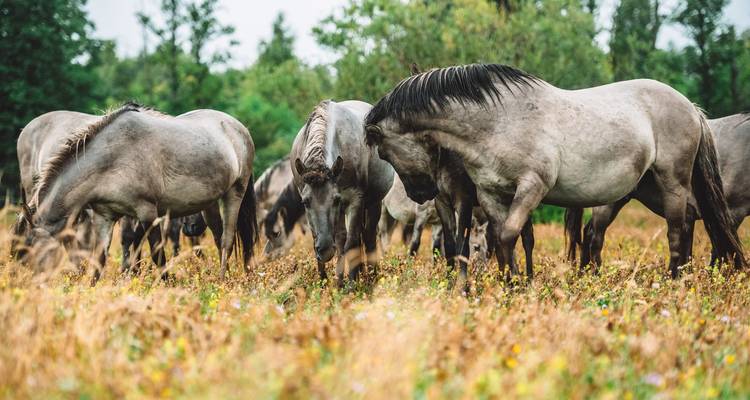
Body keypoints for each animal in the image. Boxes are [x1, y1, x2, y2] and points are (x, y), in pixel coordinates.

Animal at [19, 102, 258, 281]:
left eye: (34, 249)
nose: (32, 284)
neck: (113, 157)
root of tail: (240, 128)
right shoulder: (104, 216)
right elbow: (100, 260)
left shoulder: (147, 212)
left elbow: (157, 254)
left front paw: (167, 286)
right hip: (210, 204)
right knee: (218, 238)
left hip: (234, 193)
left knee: (227, 239)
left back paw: (222, 281)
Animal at [291, 100, 394, 284]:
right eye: (305, 201)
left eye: (335, 199)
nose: (325, 250)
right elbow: (332, 241)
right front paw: (329, 282)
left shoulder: (355, 200)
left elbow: (352, 242)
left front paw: (352, 284)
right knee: (342, 240)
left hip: (373, 204)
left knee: (368, 236)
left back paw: (371, 276)